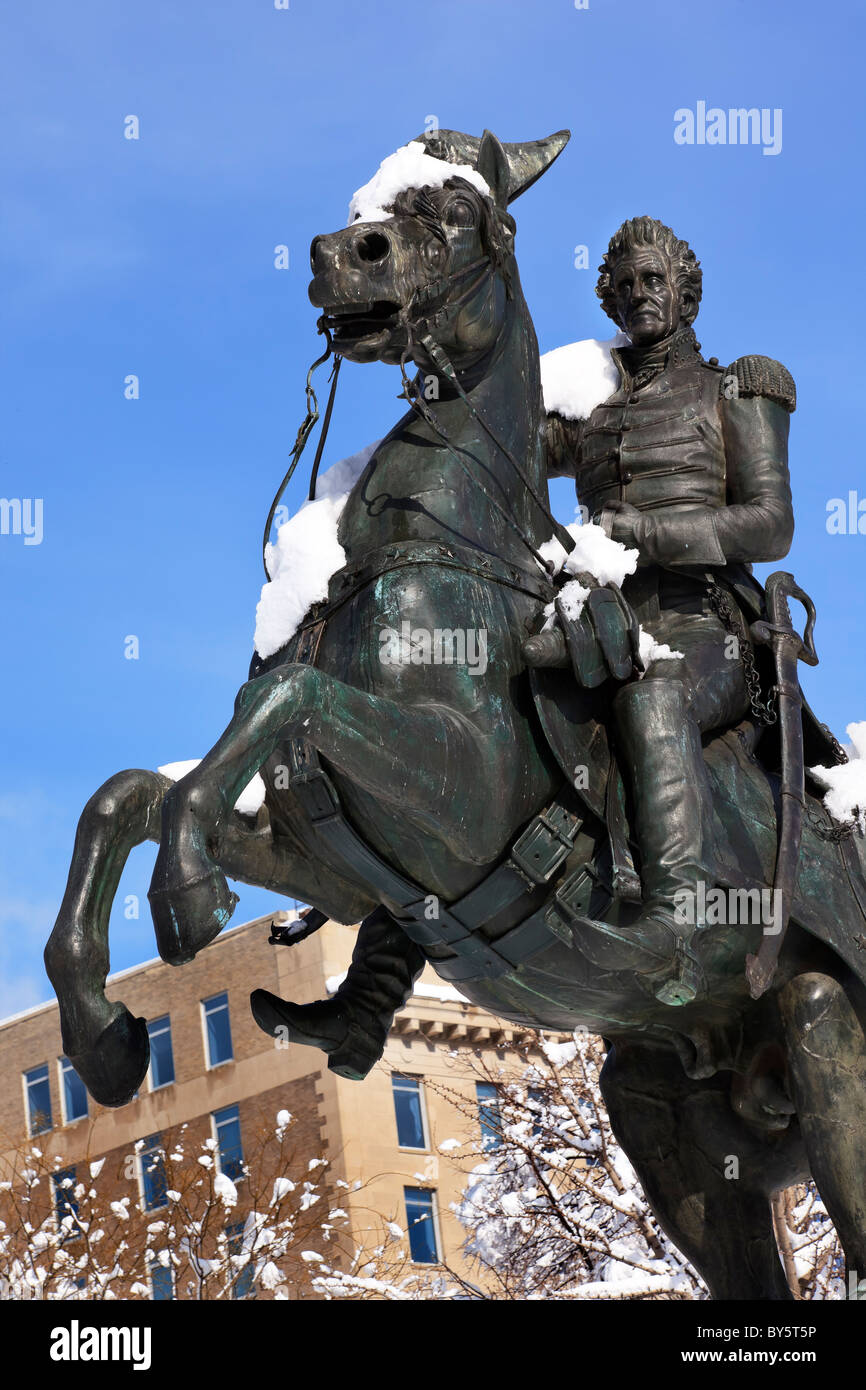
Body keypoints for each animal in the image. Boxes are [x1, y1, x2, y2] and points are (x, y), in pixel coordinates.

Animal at [45, 130, 866, 1301]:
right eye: (367, 202)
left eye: (459, 210)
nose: (341, 253)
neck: (437, 550)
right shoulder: (346, 856)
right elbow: (127, 794)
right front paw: (106, 1035)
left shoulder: (454, 793)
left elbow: (279, 697)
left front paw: (187, 892)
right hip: (672, 1129)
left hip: (824, 1037)